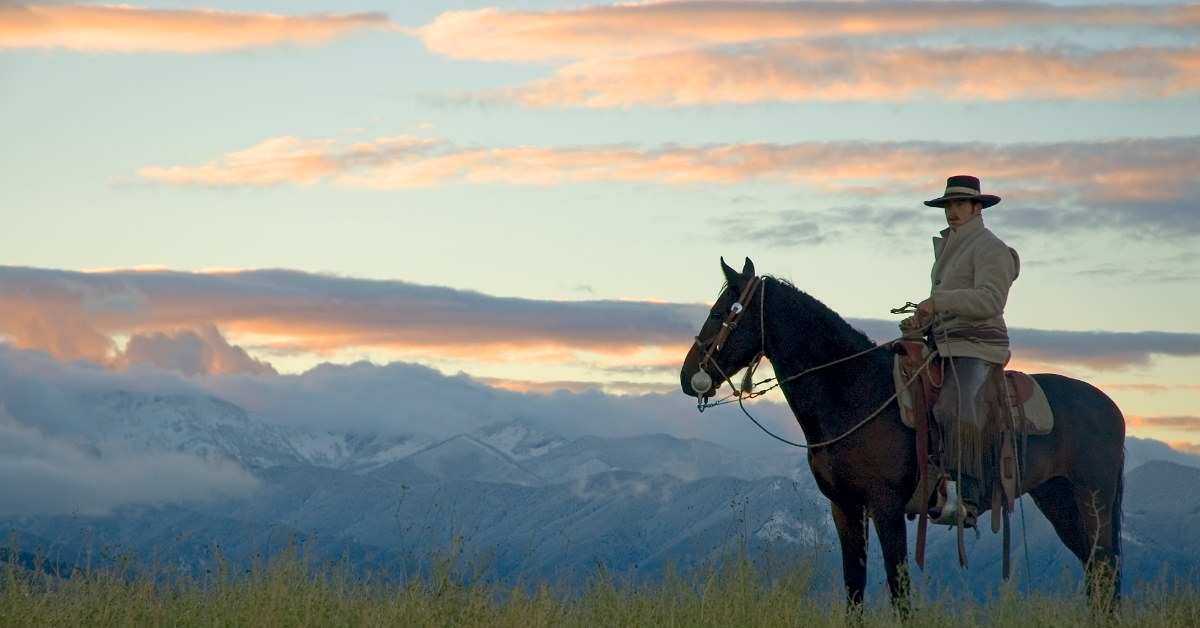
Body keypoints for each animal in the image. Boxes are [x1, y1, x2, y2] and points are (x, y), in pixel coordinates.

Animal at [679, 257, 1125, 611]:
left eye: (725, 310)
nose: (687, 376)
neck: (854, 391)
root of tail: (1112, 409)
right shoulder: (845, 507)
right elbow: (854, 588)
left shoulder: (887, 506)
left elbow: (899, 589)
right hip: (1058, 499)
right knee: (1096, 573)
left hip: (1094, 499)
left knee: (1104, 570)